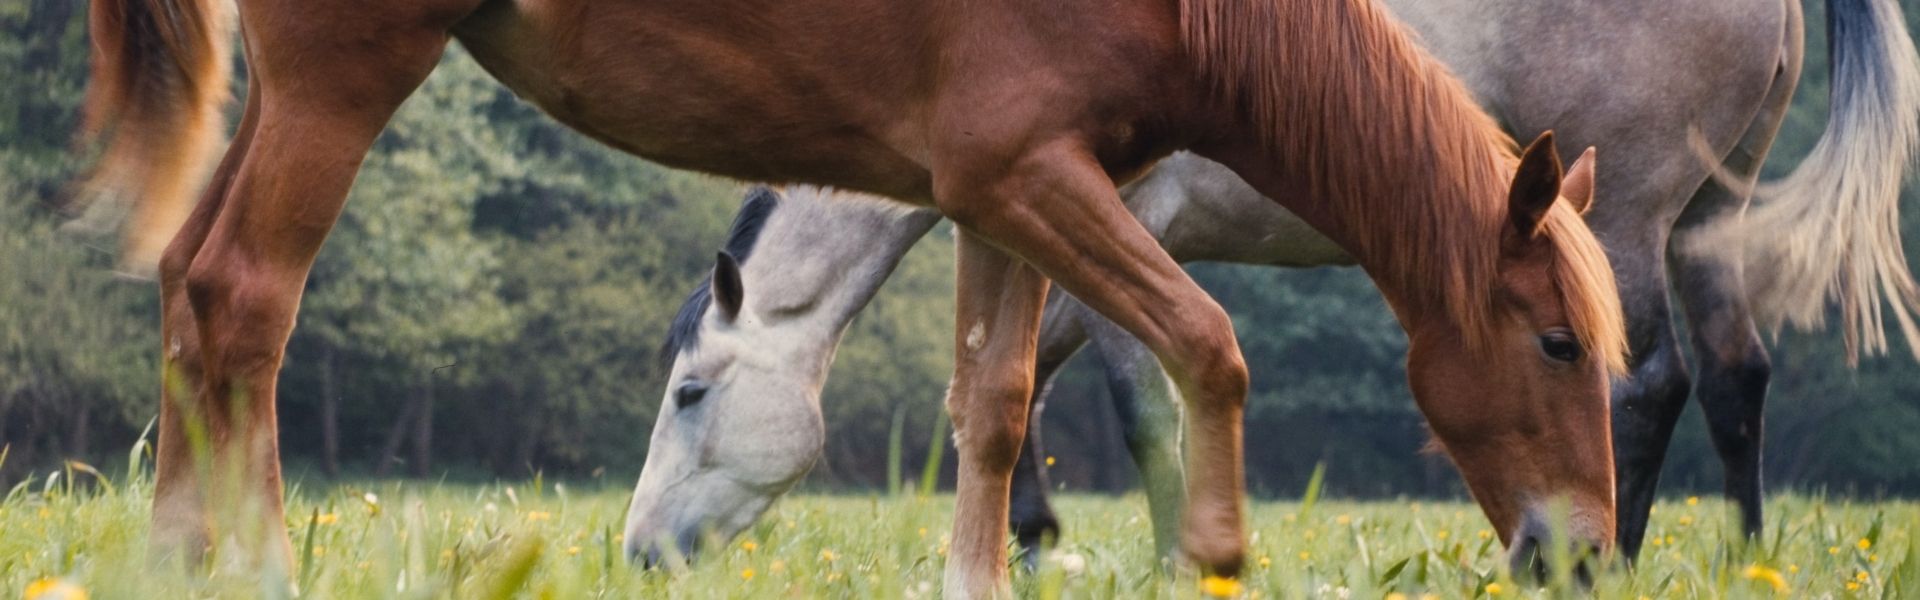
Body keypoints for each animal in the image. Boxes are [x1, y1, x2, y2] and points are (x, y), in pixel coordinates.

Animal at [79, 0, 1626, 593]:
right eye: (1557, 344)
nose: (1588, 555)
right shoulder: (1033, 182)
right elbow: (1208, 341)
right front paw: (1214, 553)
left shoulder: (1005, 194)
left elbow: (994, 406)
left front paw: (977, 583)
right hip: (340, 81)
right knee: (245, 300)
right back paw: (257, 569)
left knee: (187, 296)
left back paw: (175, 564)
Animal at [624, 0, 1920, 568]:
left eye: (689, 395)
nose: (641, 554)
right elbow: (1019, 391)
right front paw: (1037, 545)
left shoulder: (1114, 232)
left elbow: (1131, 400)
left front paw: (1156, 555)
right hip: (1707, 218)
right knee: (1738, 380)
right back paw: (1741, 558)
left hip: (1636, 216)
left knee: (1646, 384)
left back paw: (1601, 556)